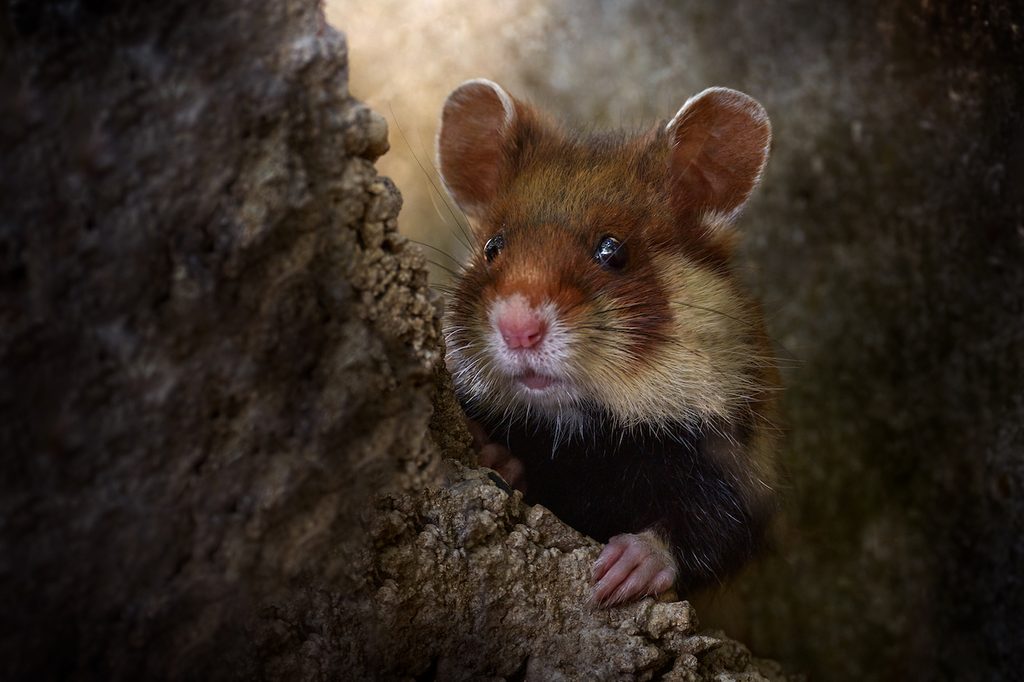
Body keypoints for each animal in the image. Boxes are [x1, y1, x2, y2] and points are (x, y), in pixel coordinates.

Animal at [437, 79, 780, 606]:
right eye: (493, 247)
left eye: (613, 251)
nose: (518, 328)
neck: (579, 427)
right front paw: (493, 457)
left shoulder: (738, 470)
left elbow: (709, 528)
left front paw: (618, 574)